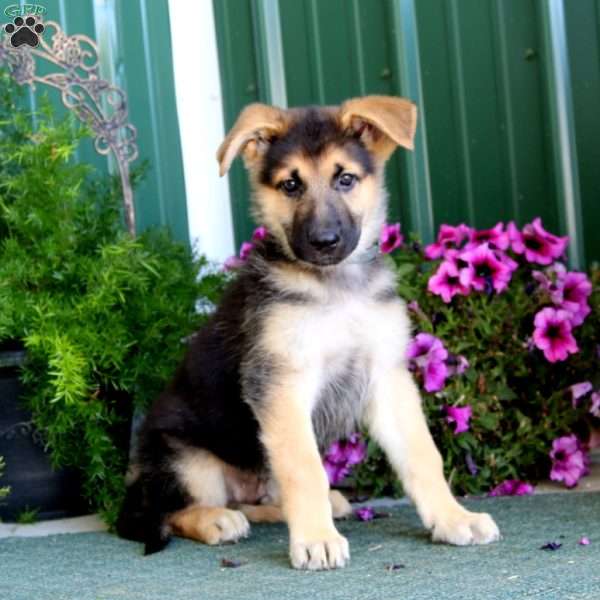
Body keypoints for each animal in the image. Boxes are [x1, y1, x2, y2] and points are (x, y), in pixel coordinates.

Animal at [116, 96, 496, 568]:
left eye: (346, 178)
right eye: (290, 185)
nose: (324, 241)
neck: (335, 287)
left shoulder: (386, 377)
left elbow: (422, 455)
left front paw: (452, 518)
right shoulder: (281, 383)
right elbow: (305, 468)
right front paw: (316, 539)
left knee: (251, 500)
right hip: (185, 459)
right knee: (171, 510)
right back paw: (216, 520)